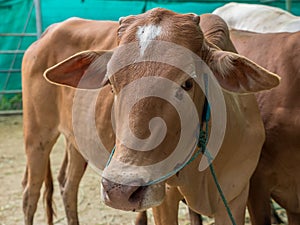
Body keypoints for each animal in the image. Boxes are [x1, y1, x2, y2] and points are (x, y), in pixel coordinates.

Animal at [45, 7, 280, 225]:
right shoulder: (163, 199)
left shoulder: (235, 197)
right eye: (111, 83)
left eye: (187, 83)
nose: (120, 190)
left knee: (67, 184)